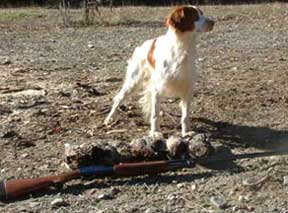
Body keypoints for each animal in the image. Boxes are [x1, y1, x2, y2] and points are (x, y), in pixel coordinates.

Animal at [104, 5, 215, 138]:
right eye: (194, 15)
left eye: (202, 13)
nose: (213, 22)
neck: (182, 48)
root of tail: (141, 46)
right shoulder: (157, 89)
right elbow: (155, 115)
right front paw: (155, 132)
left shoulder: (187, 88)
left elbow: (185, 116)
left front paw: (186, 132)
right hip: (133, 81)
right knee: (118, 98)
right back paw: (109, 118)